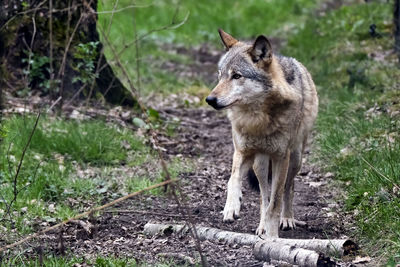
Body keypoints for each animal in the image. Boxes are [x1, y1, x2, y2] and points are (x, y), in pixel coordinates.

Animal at [206, 29, 318, 239]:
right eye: (220, 76)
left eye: (237, 76)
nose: (210, 99)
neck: (257, 119)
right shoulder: (242, 152)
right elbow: (233, 180)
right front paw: (231, 207)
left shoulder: (281, 157)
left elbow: (275, 202)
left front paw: (273, 237)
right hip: (260, 164)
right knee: (263, 196)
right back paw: (261, 226)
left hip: (295, 159)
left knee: (288, 188)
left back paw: (286, 219)